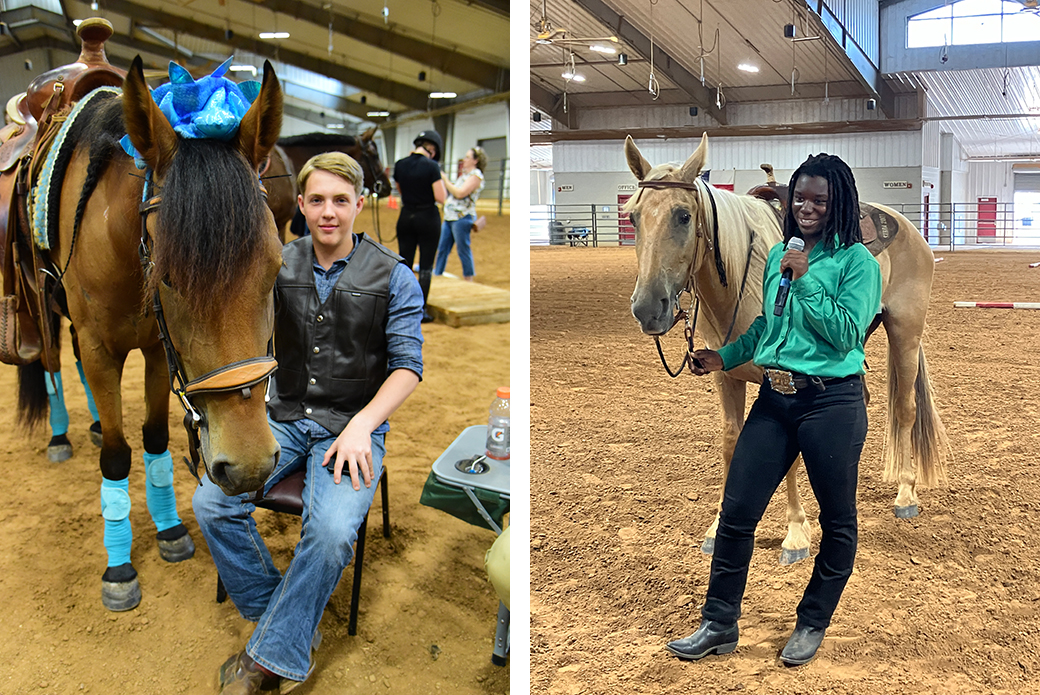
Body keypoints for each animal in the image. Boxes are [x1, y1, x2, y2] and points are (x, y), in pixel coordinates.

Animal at [17, 55, 284, 607]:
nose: (249, 465)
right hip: (42, 305)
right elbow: (119, 457)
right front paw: (119, 567)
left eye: (276, 268)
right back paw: (61, 435)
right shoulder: (102, 349)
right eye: (168, 276)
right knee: (54, 363)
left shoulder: (162, 352)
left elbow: (156, 439)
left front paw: (170, 530)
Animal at [624, 134, 952, 565]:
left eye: (682, 216)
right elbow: (731, 443)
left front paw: (796, 532)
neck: (739, 281)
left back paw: (906, 494)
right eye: (633, 217)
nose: (648, 307)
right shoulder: (726, 379)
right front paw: (716, 525)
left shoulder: (784, 381)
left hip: (906, 334)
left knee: (905, 409)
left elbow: (791, 460)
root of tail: (911, 230)